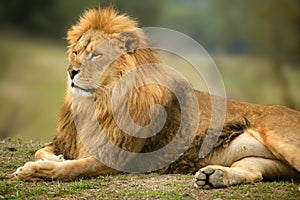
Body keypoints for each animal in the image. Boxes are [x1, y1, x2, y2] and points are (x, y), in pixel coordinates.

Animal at [14, 6, 300, 188]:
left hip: (282, 139)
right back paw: (213, 177)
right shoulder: (69, 140)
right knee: (256, 173)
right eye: (76, 52)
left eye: (96, 55)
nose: (70, 71)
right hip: (257, 160)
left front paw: (34, 170)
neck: (98, 103)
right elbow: (43, 151)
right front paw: (53, 159)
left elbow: (74, 168)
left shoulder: (120, 158)